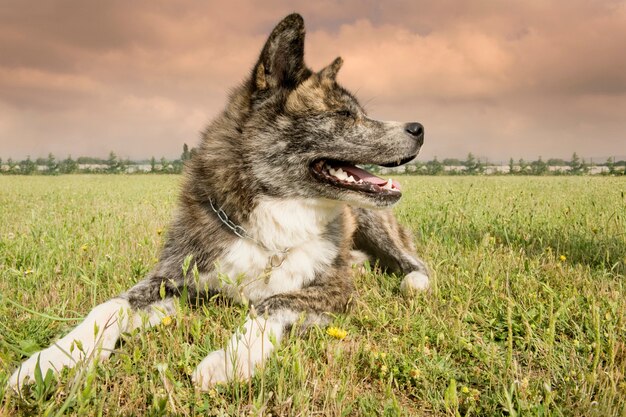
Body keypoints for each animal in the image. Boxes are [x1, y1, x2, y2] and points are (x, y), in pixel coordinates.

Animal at [11, 13, 428, 390]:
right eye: (344, 114)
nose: (419, 128)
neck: (272, 219)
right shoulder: (171, 280)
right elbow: (109, 306)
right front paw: (52, 358)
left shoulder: (334, 291)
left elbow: (271, 302)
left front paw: (229, 360)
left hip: (372, 220)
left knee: (413, 262)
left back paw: (411, 279)